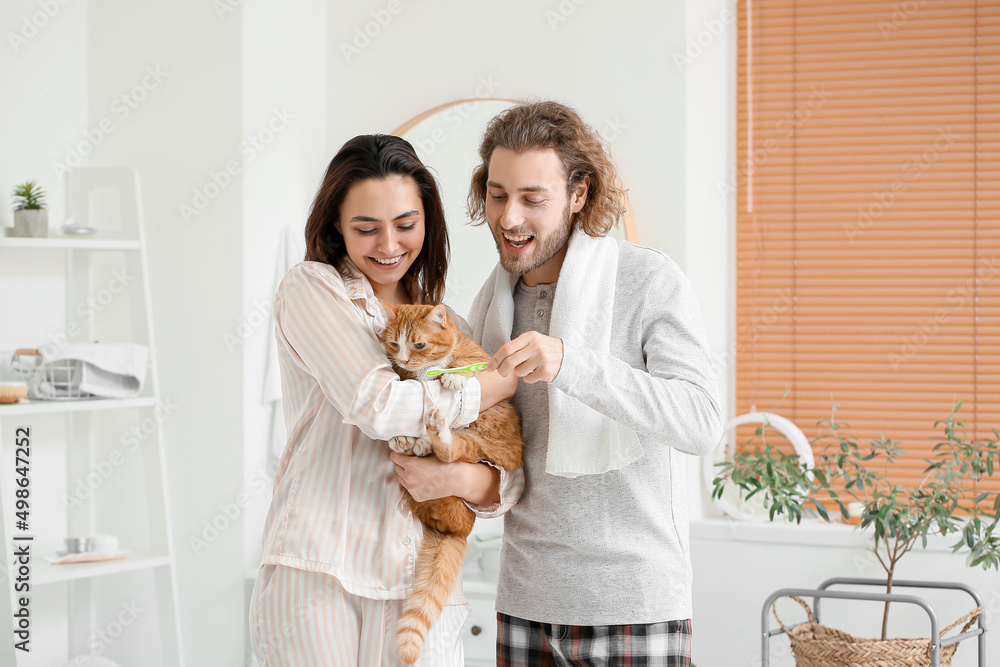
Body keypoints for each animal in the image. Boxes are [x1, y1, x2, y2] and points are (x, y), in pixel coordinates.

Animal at [378, 306, 524, 664]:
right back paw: (412, 441)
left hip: (477, 448)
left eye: (418, 344)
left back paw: (430, 435)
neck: (428, 370)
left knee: (451, 449)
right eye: (395, 344)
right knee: (440, 448)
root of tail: (455, 528)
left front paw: (455, 377)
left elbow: (470, 371)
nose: (403, 359)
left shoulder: (485, 362)